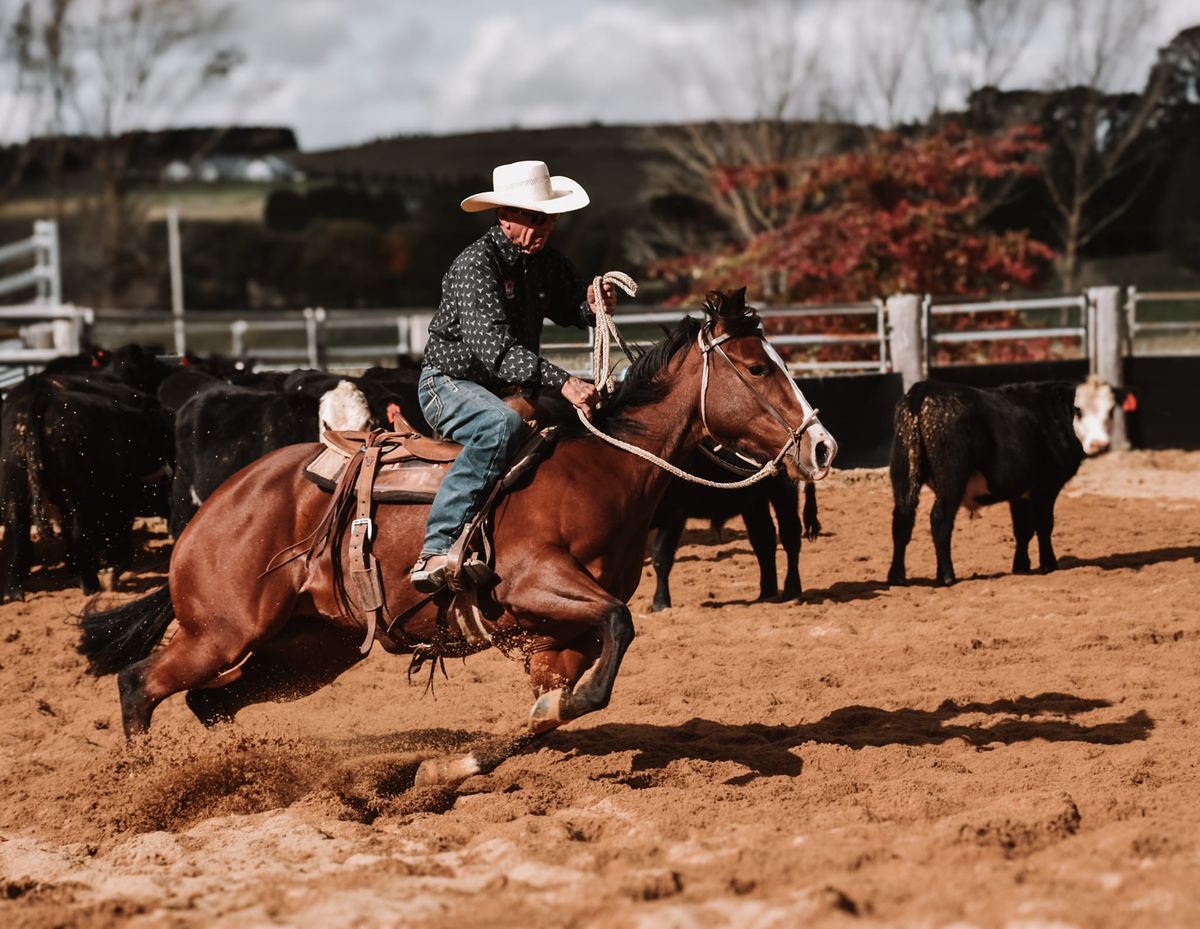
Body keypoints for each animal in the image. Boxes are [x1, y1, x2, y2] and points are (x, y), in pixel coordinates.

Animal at [652, 453, 820, 614]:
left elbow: (662, 558)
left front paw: (661, 603)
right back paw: (767, 593)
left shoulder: (675, 514)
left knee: (790, 535)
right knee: (763, 539)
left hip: (783, 491)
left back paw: (792, 590)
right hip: (754, 501)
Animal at [888, 372, 1118, 585]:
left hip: (903, 472)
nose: (1100, 445)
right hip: (951, 479)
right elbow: (1044, 525)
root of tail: (926, 388)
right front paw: (1048, 564)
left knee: (902, 519)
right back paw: (946, 576)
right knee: (940, 519)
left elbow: (1023, 529)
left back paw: (897, 576)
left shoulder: (1020, 493)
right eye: (1080, 412)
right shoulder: (1045, 488)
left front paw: (1021, 566)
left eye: (1109, 411)